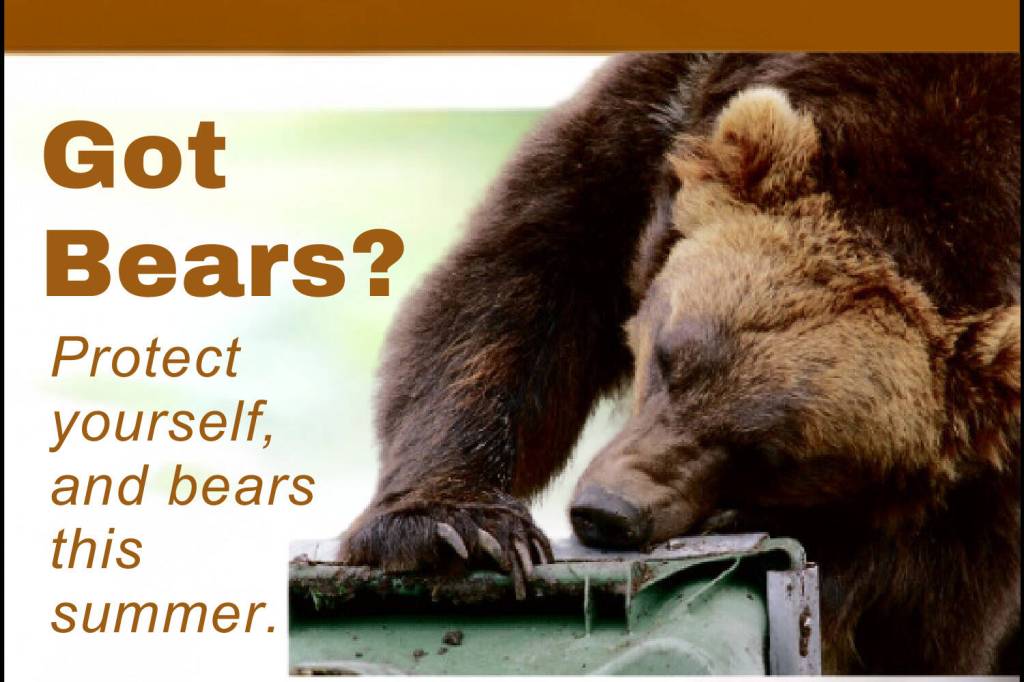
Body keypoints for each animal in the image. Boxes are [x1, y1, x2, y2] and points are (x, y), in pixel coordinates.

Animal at [339, 54, 1020, 674]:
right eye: (668, 359)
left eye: (772, 455)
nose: (609, 511)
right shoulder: (655, 116)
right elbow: (514, 283)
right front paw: (458, 527)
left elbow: (930, 600)